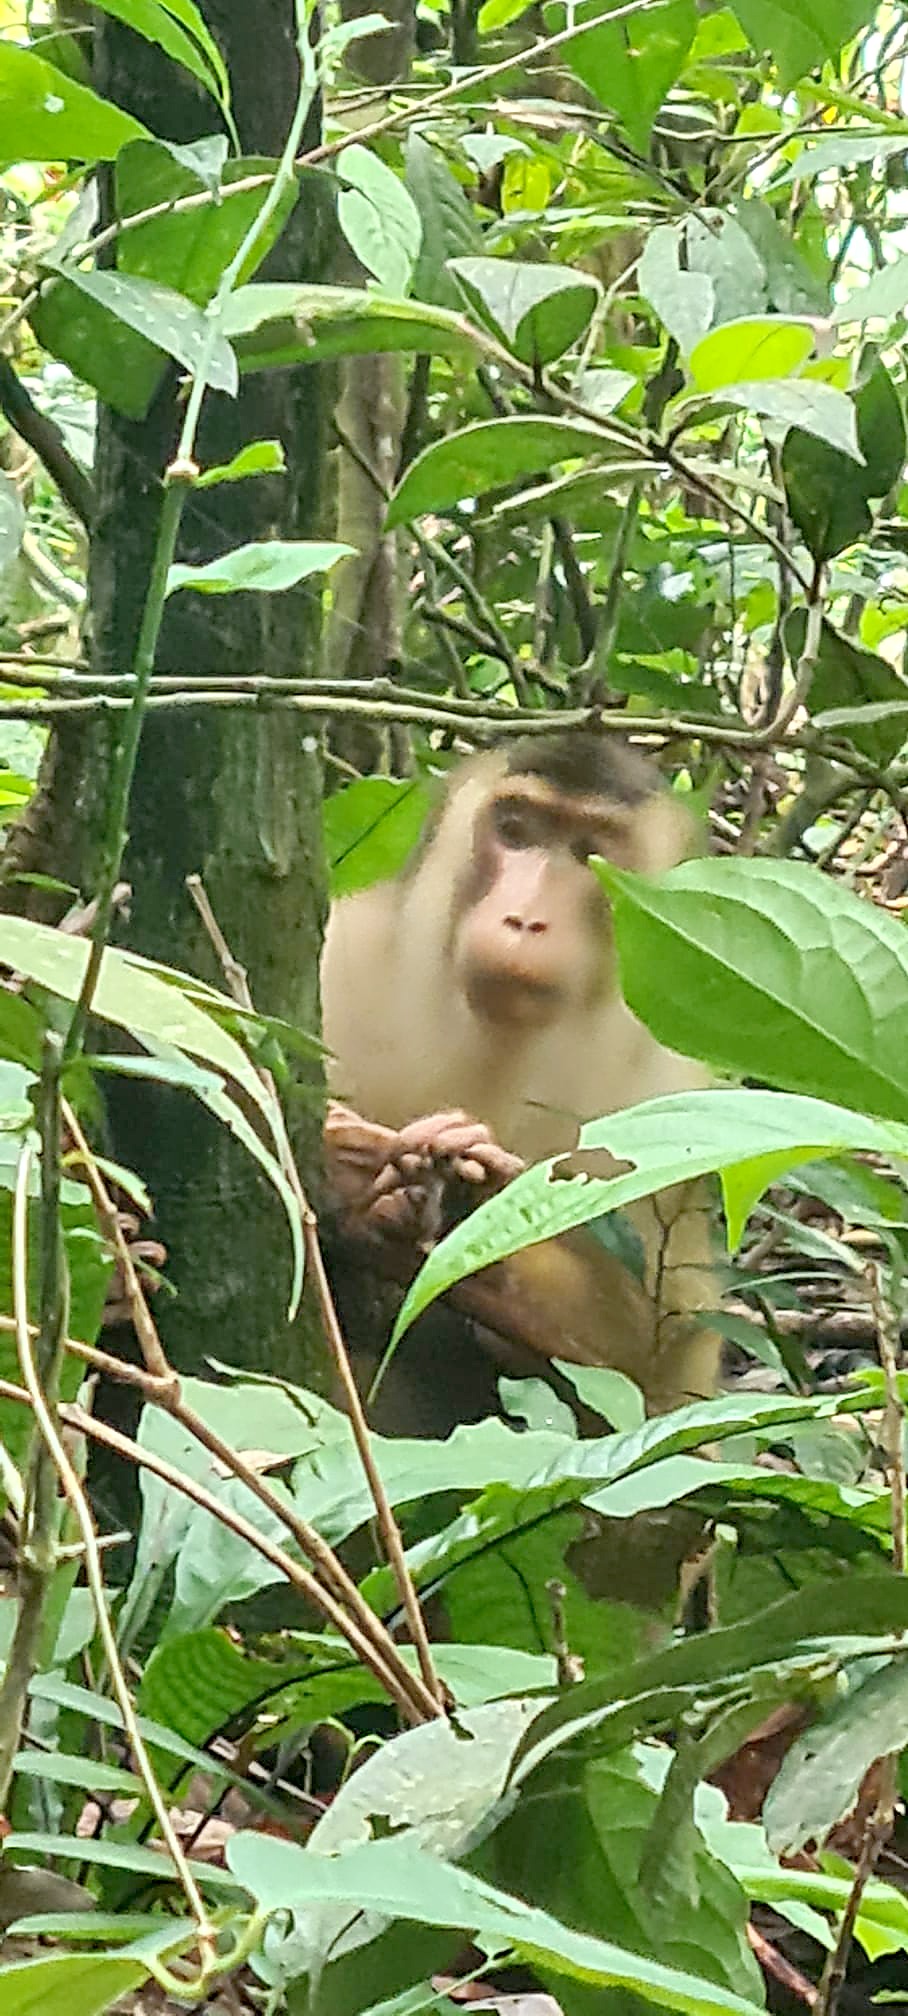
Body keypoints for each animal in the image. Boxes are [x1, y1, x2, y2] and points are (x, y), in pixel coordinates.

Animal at [320, 732, 721, 1436]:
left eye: (586, 852)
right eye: (514, 831)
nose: (526, 921)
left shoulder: (678, 1091)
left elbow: (664, 1346)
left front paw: (478, 1218)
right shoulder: (340, 955)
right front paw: (349, 1171)